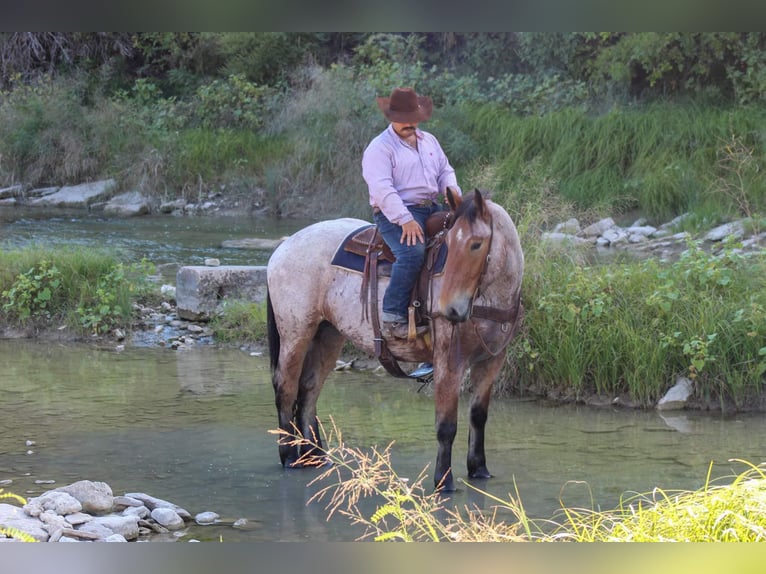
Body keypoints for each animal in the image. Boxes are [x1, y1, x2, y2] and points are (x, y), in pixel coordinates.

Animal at [266, 188, 524, 491]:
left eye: (476, 244)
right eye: (448, 245)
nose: (450, 309)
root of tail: (284, 248)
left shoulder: (492, 360)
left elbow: (478, 416)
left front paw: (479, 469)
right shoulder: (449, 361)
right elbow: (446, 425)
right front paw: (443, 481)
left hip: (328, 334)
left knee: (309, 389)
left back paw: (316, 458)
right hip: (296, 333)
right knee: (286, 387)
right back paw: (289, 457)